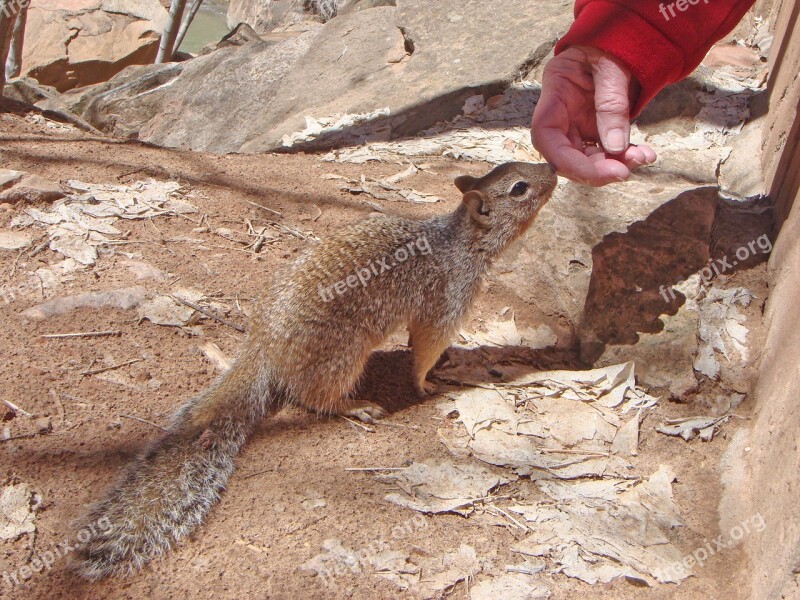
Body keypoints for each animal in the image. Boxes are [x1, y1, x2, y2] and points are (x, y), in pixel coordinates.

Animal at [72, 162, 556, 580]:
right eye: (519, 188)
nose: (552, 169)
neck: (460, 240)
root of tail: (263, 348)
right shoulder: (448, 298)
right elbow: (425, 347)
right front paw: (427, 382)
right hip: (341, 356)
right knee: (312, 397)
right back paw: (356, 406)